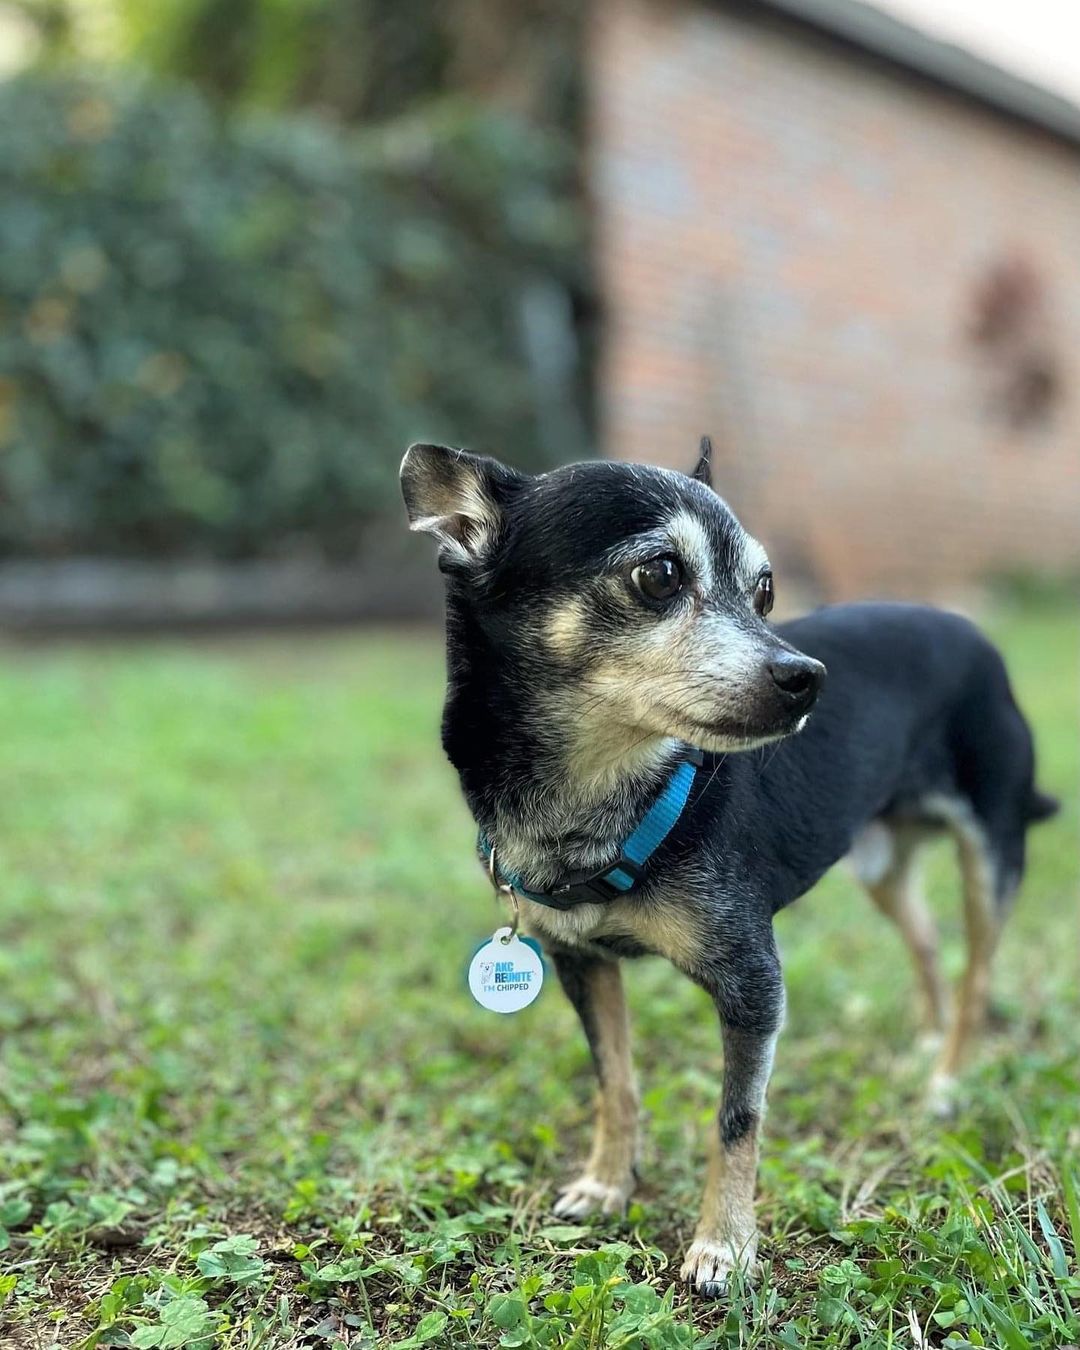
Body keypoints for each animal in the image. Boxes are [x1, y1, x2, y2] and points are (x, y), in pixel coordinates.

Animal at [396, 437, 1053, 1290]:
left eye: (765, 590)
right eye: (659, 574)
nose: (807, 679)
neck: (605, 794)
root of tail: (973, 633)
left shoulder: (753, 986)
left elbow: (737, 1118)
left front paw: (725, 1245)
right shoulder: (581, 964)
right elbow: (616, 1081)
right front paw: (607, 1183)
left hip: (990, 857)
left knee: (978, 975)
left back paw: (947, 1079)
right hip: (880, 865)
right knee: (927, 939)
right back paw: (925, 1047)